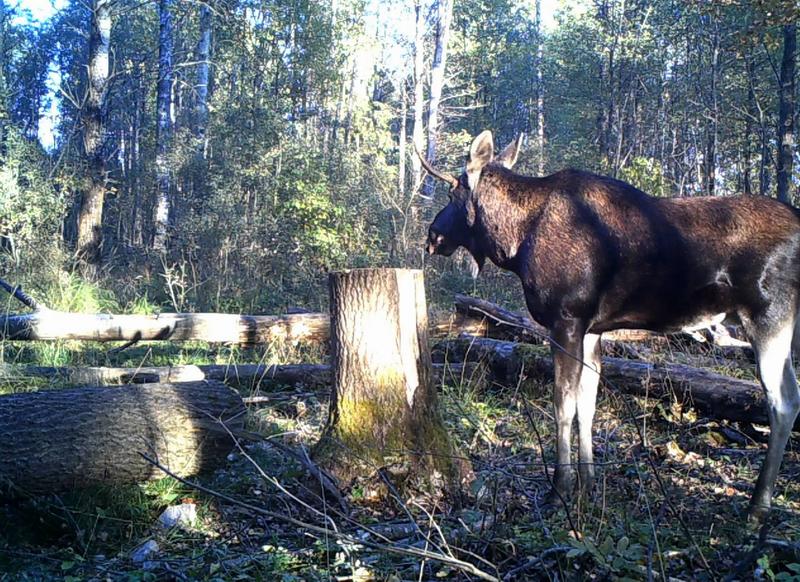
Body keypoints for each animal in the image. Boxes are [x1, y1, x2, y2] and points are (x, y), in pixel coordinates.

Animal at [422, 131, 800, 520]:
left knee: (784, 400)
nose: (432, 235)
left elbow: (563, 404)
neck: (516, 241)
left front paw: (560, 489)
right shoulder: (592, 329)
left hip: (769, 315)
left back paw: (758, 505)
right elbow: (587, 403)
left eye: (452, 193)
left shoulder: (567, 319)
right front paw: (587, 485)